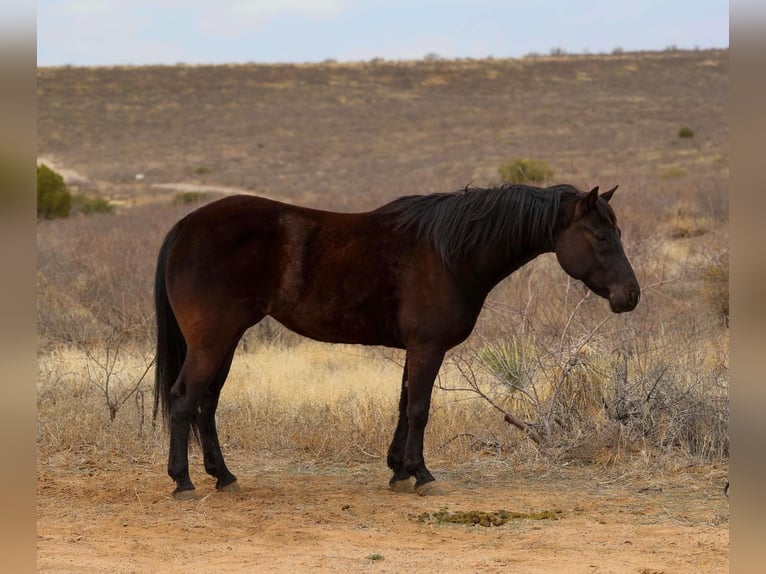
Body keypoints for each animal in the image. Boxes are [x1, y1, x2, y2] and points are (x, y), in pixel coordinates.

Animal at [154, 183, 640, 498]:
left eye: (618, 232)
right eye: (600, 235)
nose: (631, 296)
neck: (450, 253)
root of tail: (185, 226)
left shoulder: (415, 349)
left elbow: (405, 406)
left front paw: (397, 471)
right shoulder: (428, 347)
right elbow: (420, 409)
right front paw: (421, 474)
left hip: (226, 340)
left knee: (207, 403)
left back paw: (224, 477)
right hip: (212, 341)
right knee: (184, 399)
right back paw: (183, 482)